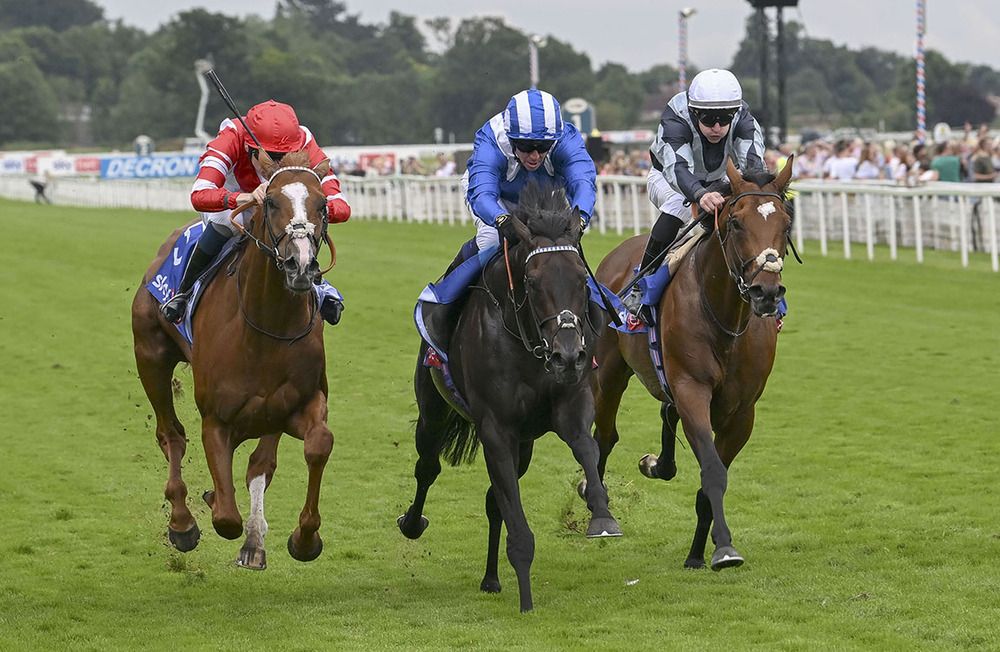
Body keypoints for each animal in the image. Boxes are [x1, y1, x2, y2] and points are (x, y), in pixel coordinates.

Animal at [131, 150, 336, 568]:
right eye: (270, 201)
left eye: (323, 205)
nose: (301, 265)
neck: (265, 327)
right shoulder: (217, 419)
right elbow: (226, 517)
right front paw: (210, 504)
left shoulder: (297, 403)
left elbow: (315, 444)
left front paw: (304, 538)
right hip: (150, 357)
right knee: (170, 434)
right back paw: (182, 523)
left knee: (260, 461)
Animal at [396, 182, 616, 612]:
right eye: (531, 280)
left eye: (582, 279)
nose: (568, 354)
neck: (527, 341)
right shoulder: (495, 428)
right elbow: (515, 518)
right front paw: (526, 598)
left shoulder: (568, 404)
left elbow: (586, 447)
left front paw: (601, 515)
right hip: (433, 411)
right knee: (428, 467)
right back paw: (412, 523)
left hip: (525, 444)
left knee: (492, 499)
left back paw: (491, 578)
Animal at [588, 158, 792, 572]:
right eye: (736, 222)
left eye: (786, 223)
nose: (766, 292)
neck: (725, 319)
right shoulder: (692, 390)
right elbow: (712, 471)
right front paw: (725, 548)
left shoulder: (742, 412)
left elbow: (713, 478)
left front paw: (699, 552)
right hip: (610, 373)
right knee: (604, 437)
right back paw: (598, 513)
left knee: (664, 414)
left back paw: (656, 465)